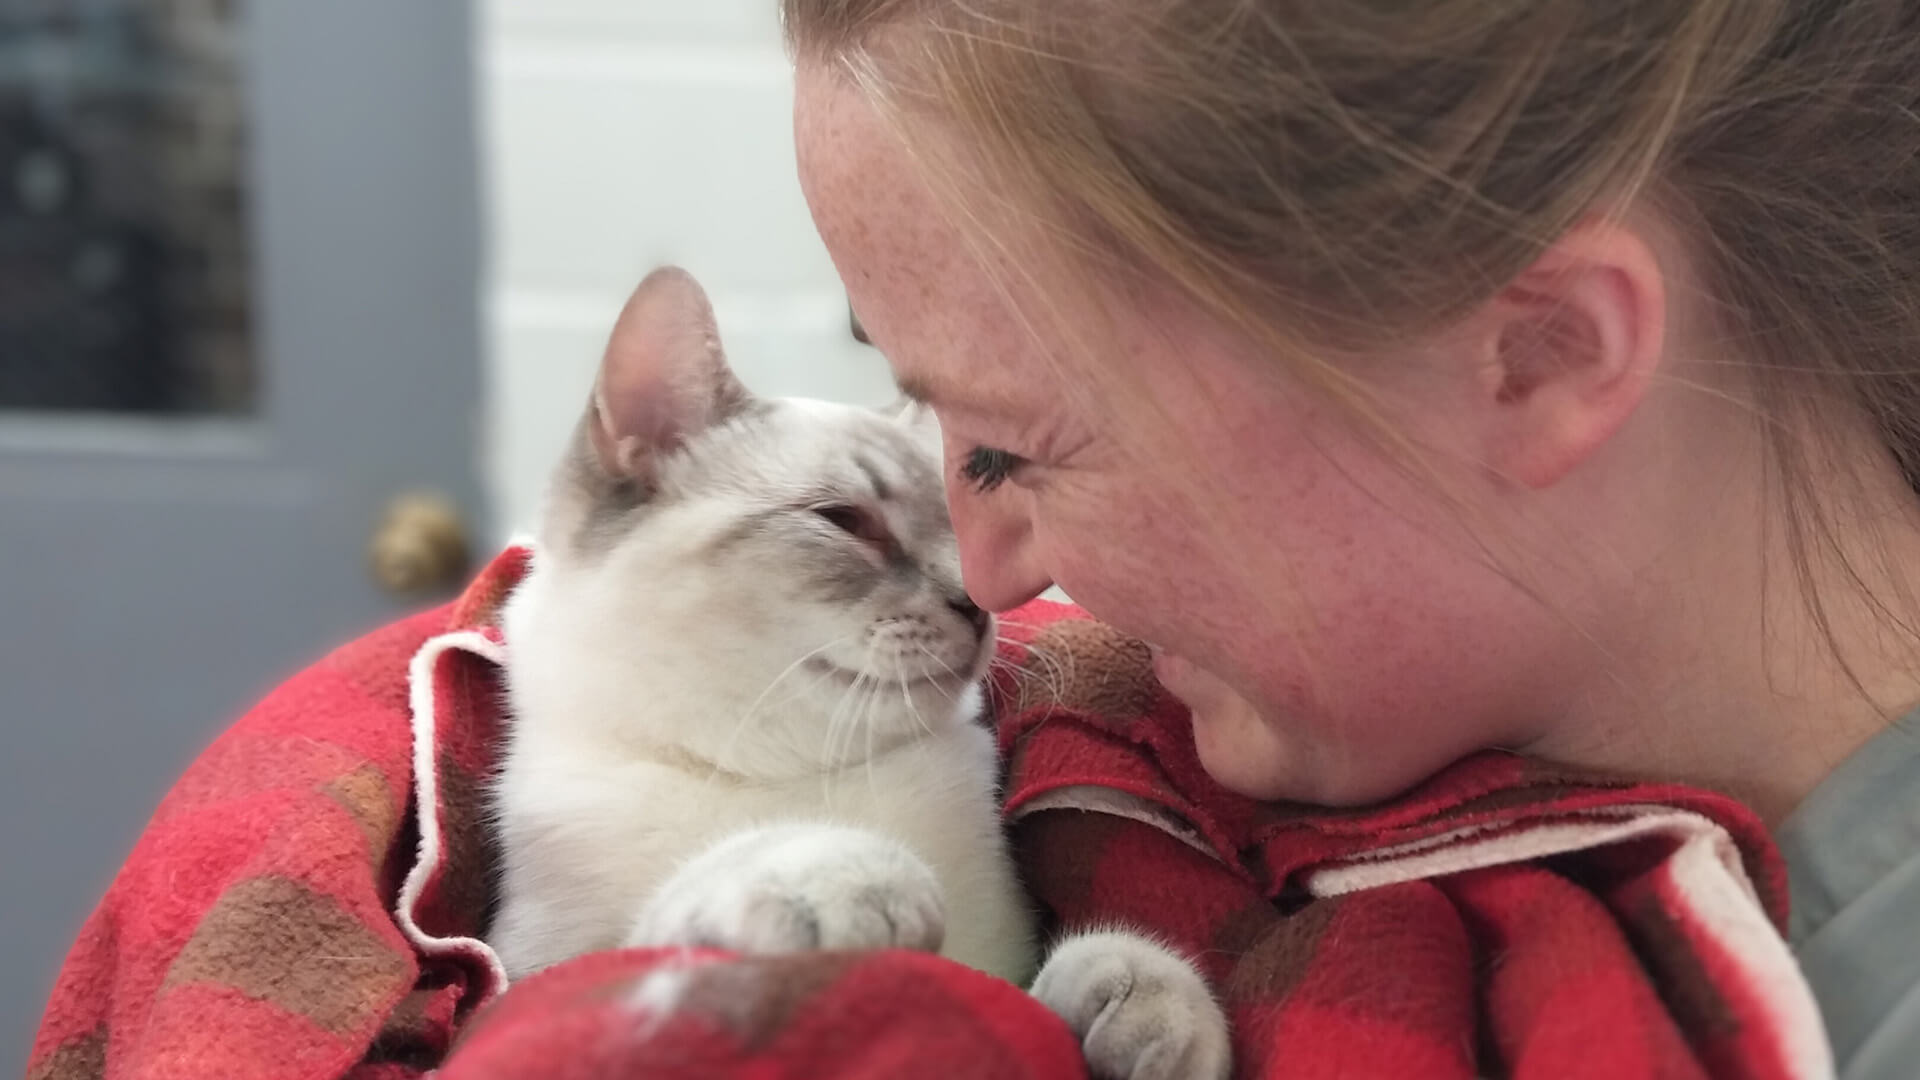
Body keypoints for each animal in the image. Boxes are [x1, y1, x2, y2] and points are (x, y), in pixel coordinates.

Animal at [480, 263, 1228, 1076]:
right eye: (847, 521)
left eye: (964, 528)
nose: (976, 602)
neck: (798, 777)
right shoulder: (524, 978)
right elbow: (672, 915)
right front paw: (844, 872)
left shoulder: (996, 963)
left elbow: (1069, 978)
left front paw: (1154, 1010)